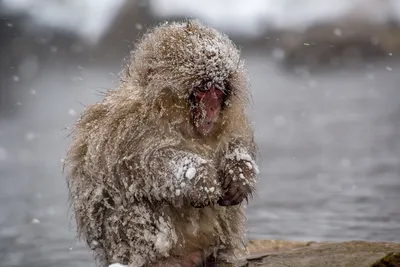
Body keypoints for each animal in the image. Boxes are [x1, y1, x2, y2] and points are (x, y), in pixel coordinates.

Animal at [65, 19, 260, 266]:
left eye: (217, 90)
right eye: (202, 90)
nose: (212, 109)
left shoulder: (232, 121)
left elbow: (236, 144)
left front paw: (240, 174)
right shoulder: (127, 122)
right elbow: (142, 164)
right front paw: (201, 179)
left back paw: (219, 256)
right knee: (133, 202)